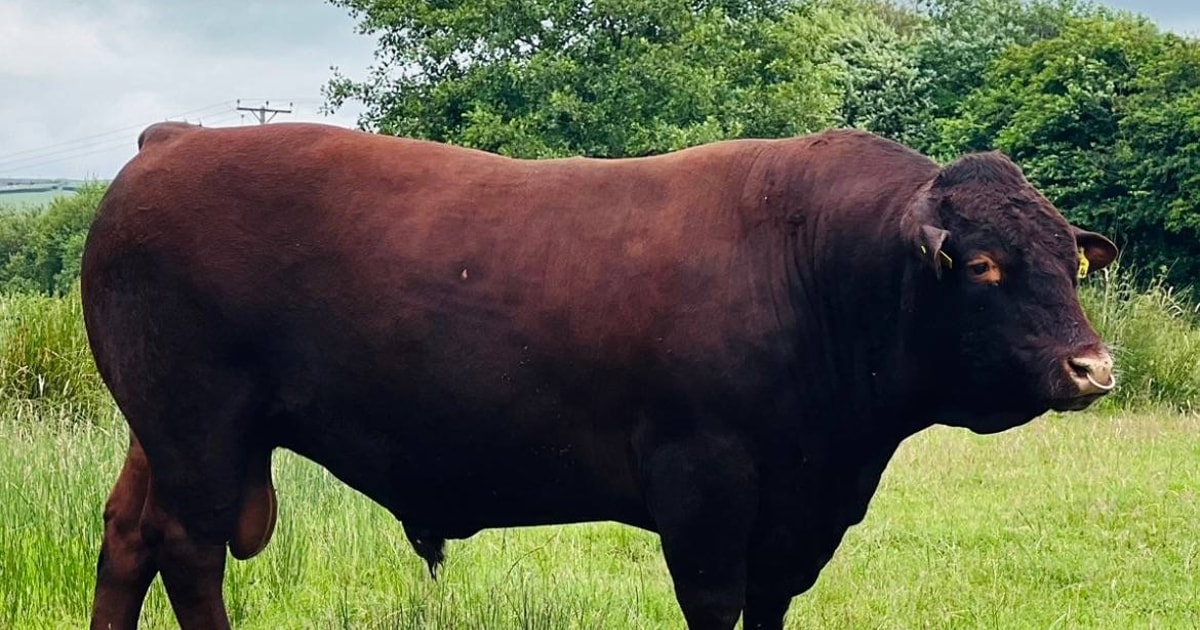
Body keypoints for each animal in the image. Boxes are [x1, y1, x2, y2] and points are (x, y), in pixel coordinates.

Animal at [81, 121, 1118, 630]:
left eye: (1070, 260)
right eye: (982, 267)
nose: (1092, 366)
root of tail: (178, 139)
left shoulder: (796, 514)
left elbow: (768, 606)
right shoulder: (705, 484)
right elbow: (715, 603)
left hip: (159, 431)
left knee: (129, 536)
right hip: (200, 427)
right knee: (189, 552)